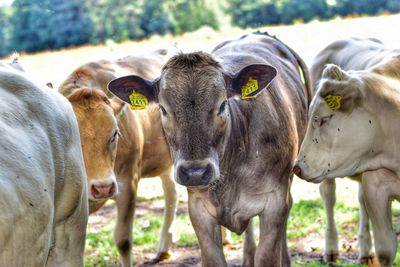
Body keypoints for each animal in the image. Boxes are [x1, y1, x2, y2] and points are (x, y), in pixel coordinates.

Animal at [107, 32, 310, 266]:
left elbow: (268, 255)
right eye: (163, 109)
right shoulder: (199, 209)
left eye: (222, 105)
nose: (195, 172)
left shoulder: (275, 202)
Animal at [292, 39, 400, 267]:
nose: (296, 167)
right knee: (329, 196)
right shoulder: (375, 186)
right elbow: (386, 250)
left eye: (324, 119)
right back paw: (332, 248)